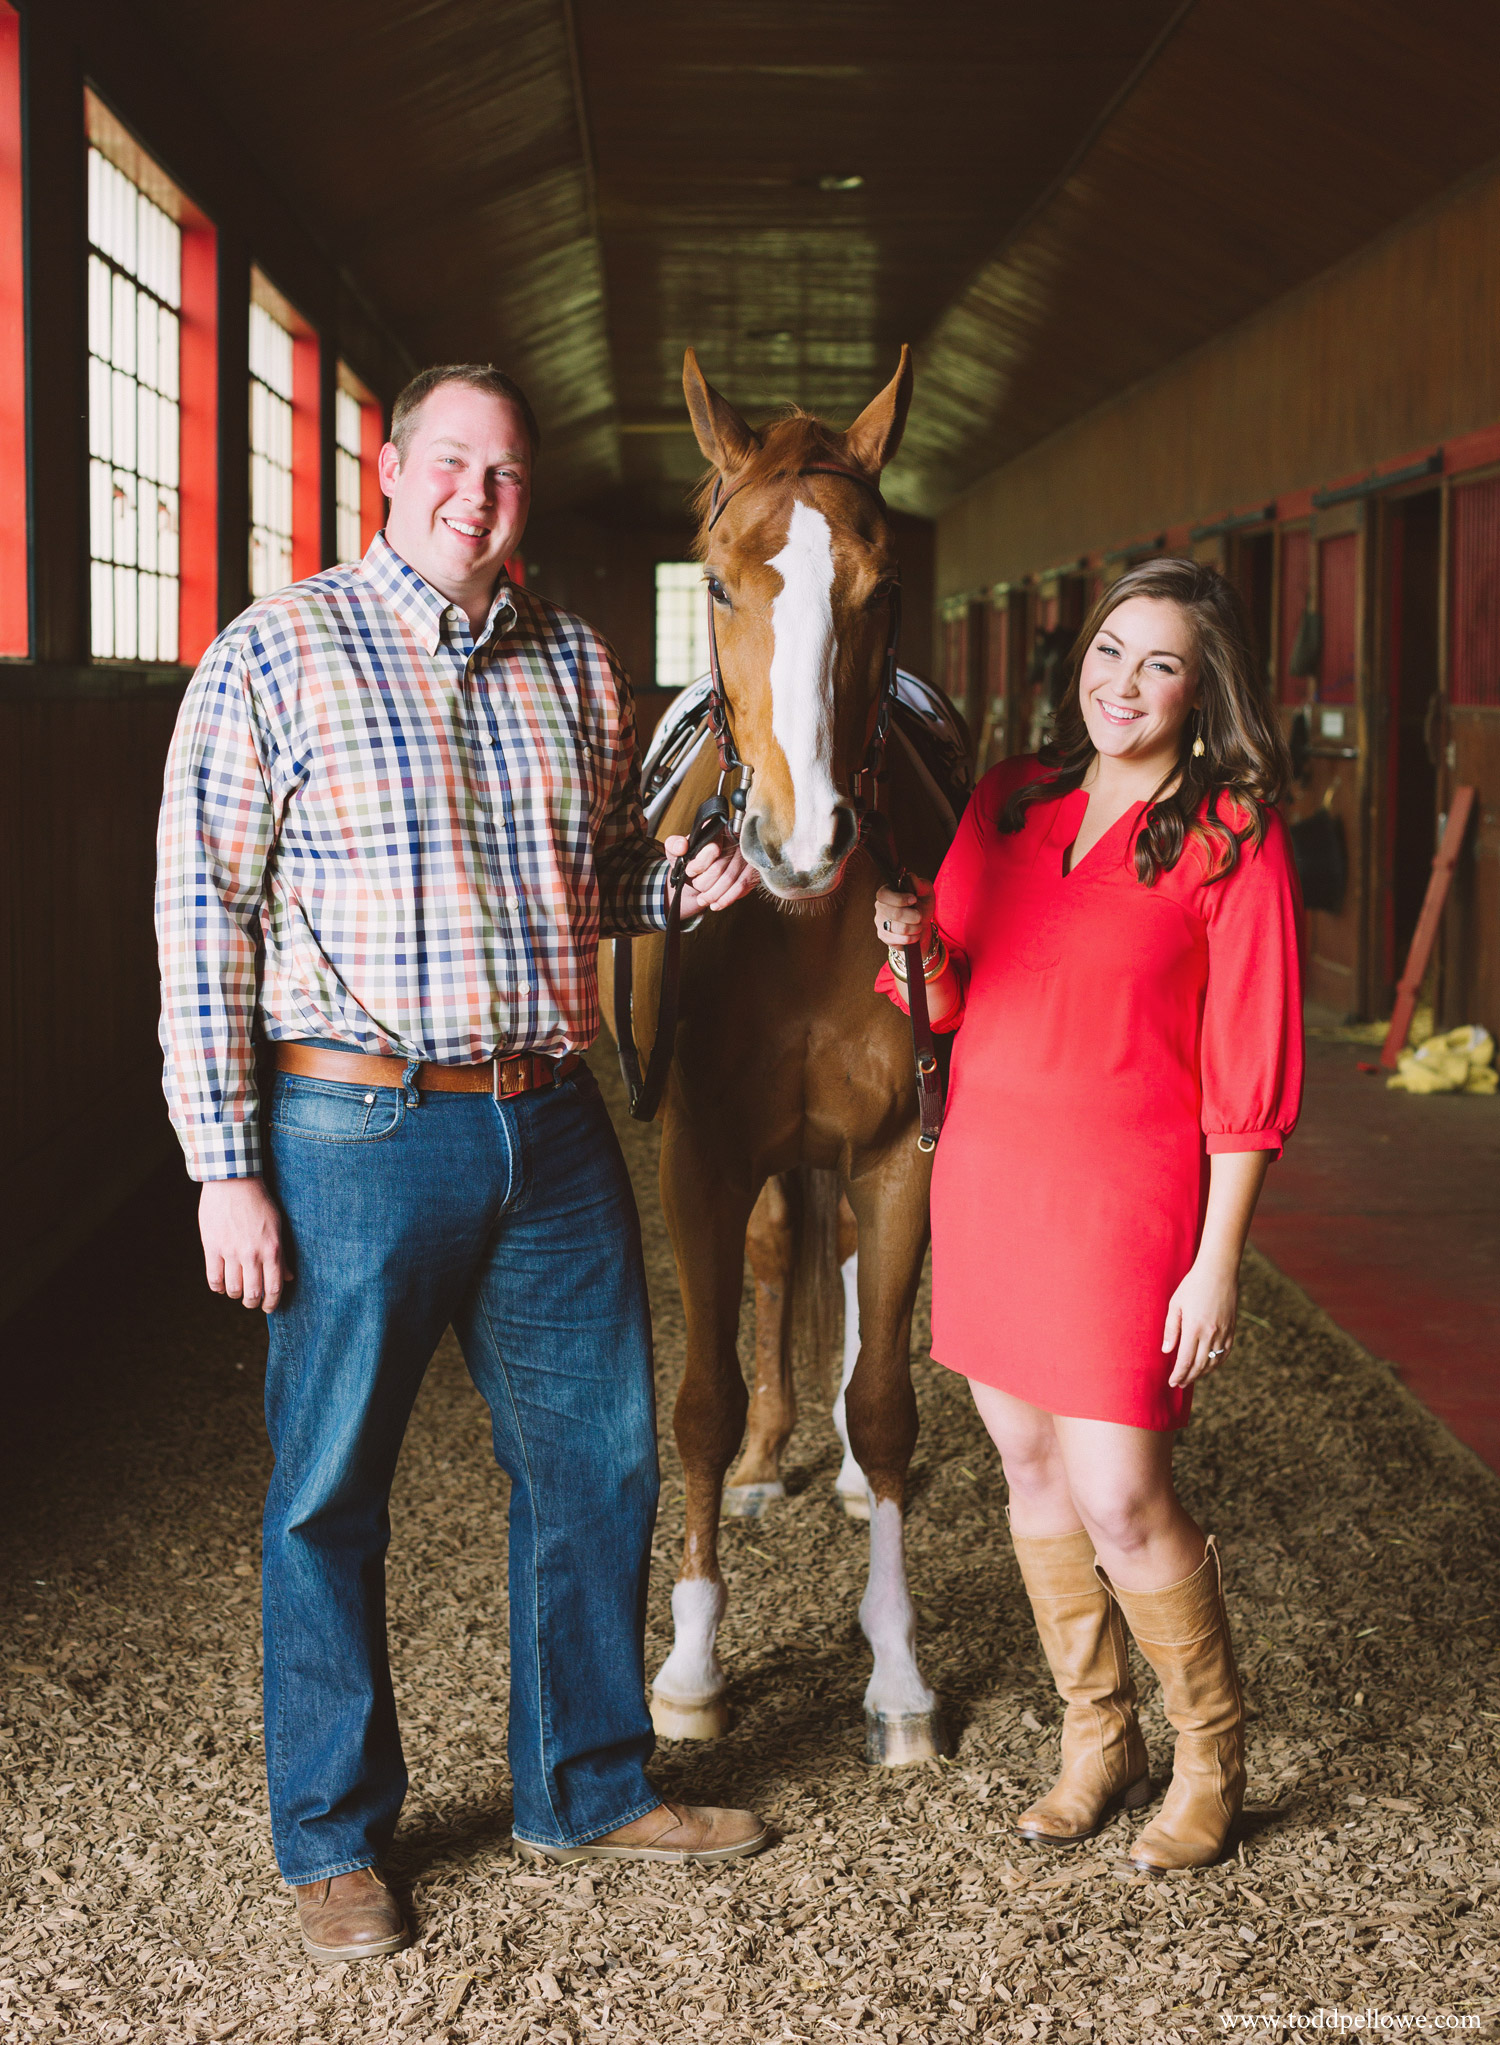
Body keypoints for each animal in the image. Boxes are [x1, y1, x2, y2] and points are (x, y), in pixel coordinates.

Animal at [601, 343, 965, 1766]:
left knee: (855, 1290)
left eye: (887, 584)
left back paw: (850, 1482)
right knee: (768, 1267)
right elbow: (700, 1397)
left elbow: (885, 1397)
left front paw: (901, 1675)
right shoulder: (699, 1156)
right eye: (712, 578)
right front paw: (693, 1664)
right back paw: (766, 1463)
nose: (804, 840)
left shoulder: (899, 1151)